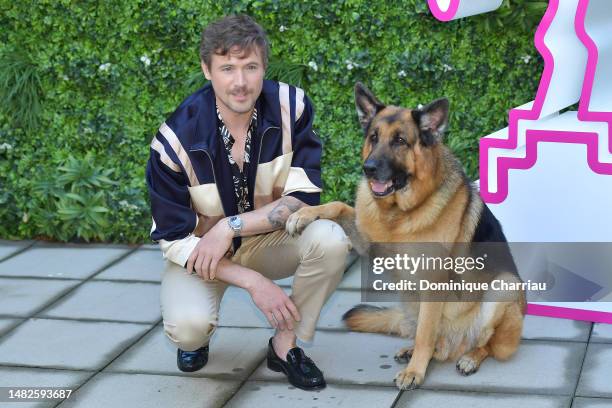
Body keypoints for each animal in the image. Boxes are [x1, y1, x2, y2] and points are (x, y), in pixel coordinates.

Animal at [286, 82, 524, 388]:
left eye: (400, 141)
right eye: (373, 137)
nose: (368, 168)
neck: (400, 213)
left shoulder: (433, 281)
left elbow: (425, 334)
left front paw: (415, 372)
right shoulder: (371, 246)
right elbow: (337, 205)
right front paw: (303, 214)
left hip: (504, 287)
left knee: (484, 344)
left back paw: (469, 357)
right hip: (409, 296)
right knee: (433, 340)